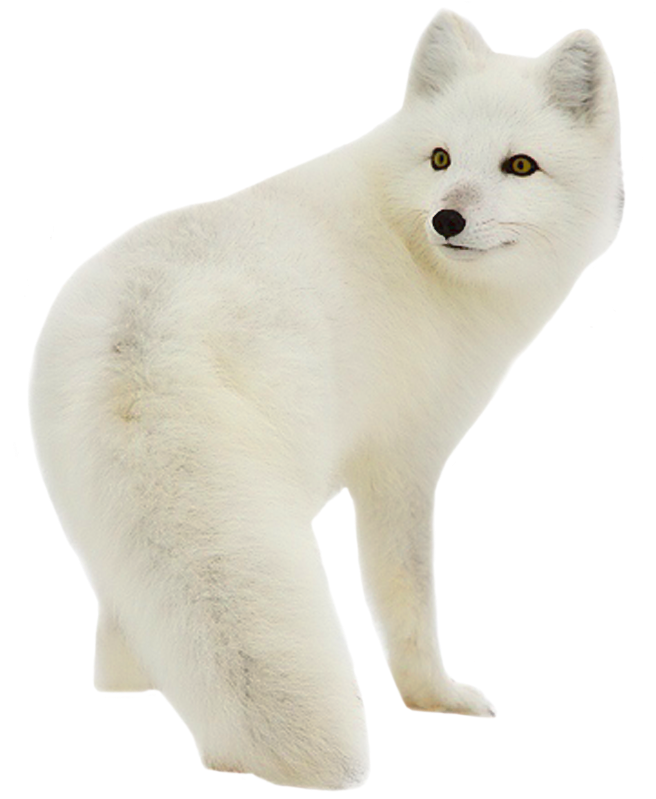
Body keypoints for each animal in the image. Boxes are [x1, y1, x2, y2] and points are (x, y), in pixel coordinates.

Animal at [27, 7, 624, 791]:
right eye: (441, 160)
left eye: (519, 166)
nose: (448, 220)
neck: (413, 251)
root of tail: (142, 336)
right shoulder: (403, 464)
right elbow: (408, 603)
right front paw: (434, 698)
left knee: (118, 646)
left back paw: (136, 690)